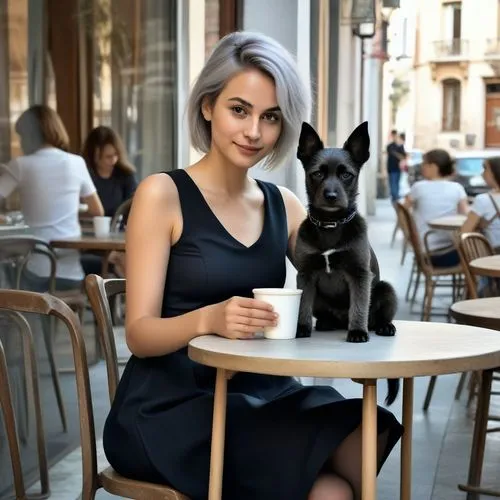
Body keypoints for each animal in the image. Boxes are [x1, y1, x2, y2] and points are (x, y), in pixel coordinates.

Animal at [292, 121, 398, 406]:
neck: (330, 226)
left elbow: (359, 306)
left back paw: (383, 326)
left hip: (385, 289)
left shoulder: (360, 275)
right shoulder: (305, 276)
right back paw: (327, 323)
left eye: (347, 175)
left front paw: (357, 332)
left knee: (377, 314)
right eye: (317, 174)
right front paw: (302, 328)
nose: (330, 195)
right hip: (322, 300)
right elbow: (303, 305)